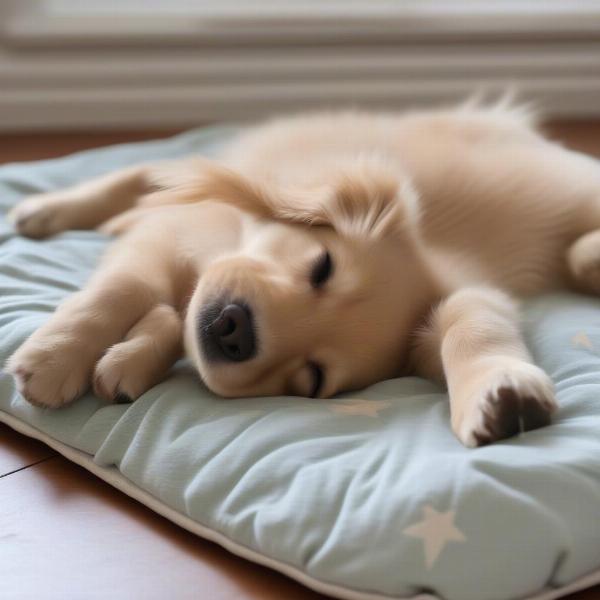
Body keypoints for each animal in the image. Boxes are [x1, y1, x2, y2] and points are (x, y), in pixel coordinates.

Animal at [5, 103, 600, 446]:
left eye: (312, 379)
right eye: (322, 266)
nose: (234, 330)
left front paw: (127, 361)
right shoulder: (178, 232)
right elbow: (126, 287)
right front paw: (56, 358)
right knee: (147, 172)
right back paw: (45, 210)